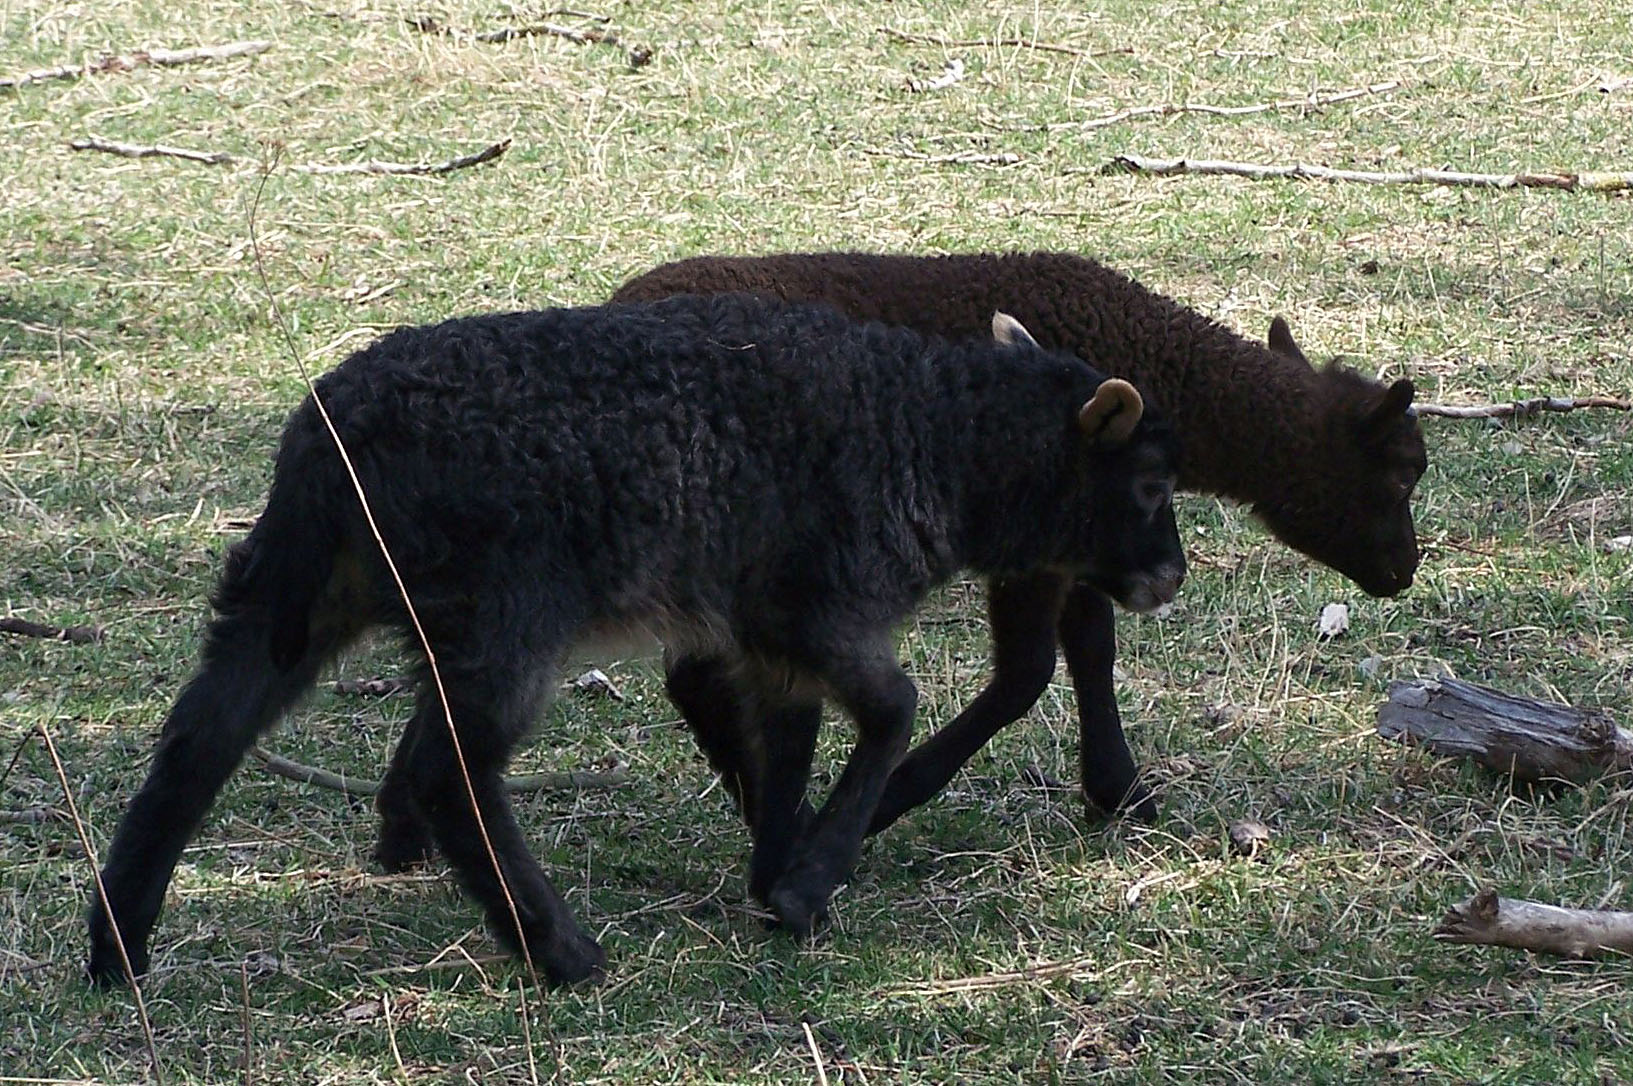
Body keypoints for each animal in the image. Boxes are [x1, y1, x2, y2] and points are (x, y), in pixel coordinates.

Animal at [89, 292, 1182, 986]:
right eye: (1148, 484)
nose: (1170, 578)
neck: (933, 437)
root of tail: (332, 437)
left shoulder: (769, 637)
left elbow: (788, 750)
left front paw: (776, 875)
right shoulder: (816, 604)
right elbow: (891, 714)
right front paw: (810, 884)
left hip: (305, 590)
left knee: (201, 740)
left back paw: (118, 947)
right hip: (507, 611)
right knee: (450, 777)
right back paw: (559, 952)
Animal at [614, 249, 1430, 826]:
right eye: (1398, 478)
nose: (1405, 572)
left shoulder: (1089, 540)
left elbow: (1092, 652)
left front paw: (1117, 789)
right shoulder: (1038, 540)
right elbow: (1026, 673)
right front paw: (894, 796)